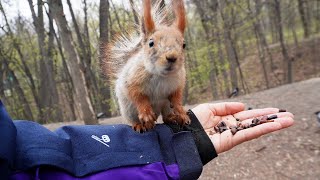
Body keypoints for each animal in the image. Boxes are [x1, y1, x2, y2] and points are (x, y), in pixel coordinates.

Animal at [102, 0, 190, 132]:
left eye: (184, 45)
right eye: (151, 43)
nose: (172, 57)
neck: (161, 75)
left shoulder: (177, 84)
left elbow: (177, 99)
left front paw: (182, 113)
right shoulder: (132, 79)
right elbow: (138, 96)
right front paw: (146, 113)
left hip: (165, 106)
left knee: (165, 116)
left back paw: (172, 118)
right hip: (129, 111)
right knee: (135, 119)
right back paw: (141, 124)